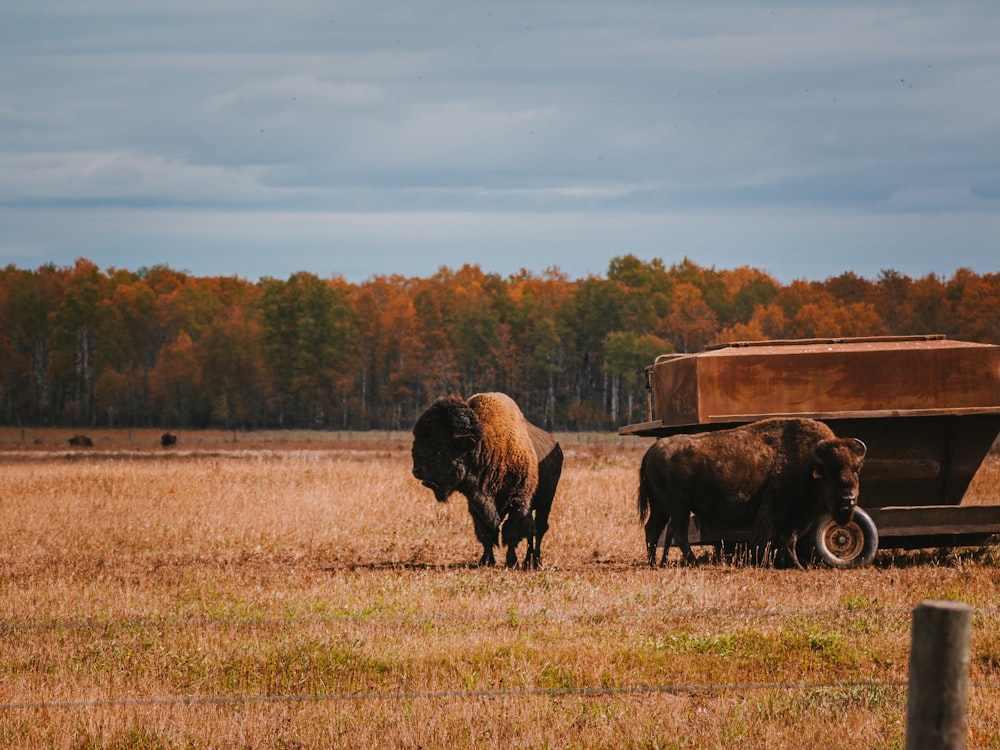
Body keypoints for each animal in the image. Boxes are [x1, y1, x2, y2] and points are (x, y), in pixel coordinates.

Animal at [408, 394, 564, 568]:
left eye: (443, 443)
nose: (417, 470)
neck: (484, 446)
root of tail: (557, 446)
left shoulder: (518, 503)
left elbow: (511, 533)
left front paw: (512, 562)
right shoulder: (476, 504)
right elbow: (486, 533)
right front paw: (486, 561)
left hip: (546, 502)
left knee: (539, 529)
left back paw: (534, 561)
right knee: (532, 531)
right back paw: (529, 561)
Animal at [640, 418, 868, 568]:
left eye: (856, 469)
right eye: (829, 472)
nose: (848, 500)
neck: (808, 463)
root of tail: (652, 450)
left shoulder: (798, 516)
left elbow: (788, 538)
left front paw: (792, 564)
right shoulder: (779, 508)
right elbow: (772, 536)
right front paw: (767, 562)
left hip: (661, 507)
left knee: (652, 529)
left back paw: (654, 563)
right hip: (679, 506)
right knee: (677, 531)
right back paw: (693, 563)